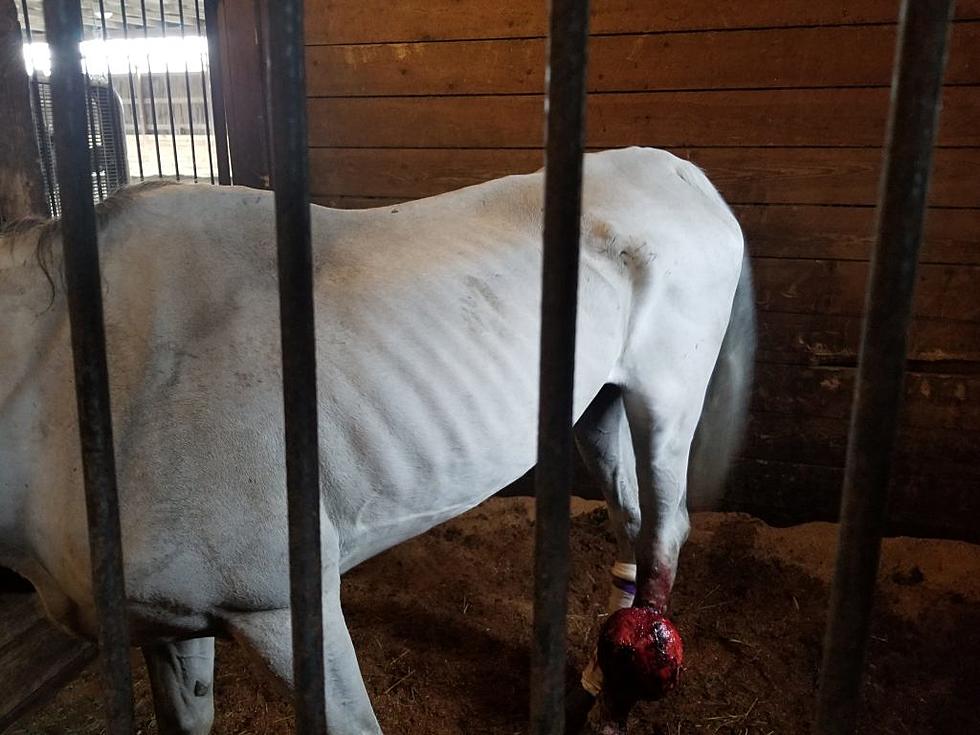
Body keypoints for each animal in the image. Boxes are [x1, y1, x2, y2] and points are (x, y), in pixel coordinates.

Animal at [0, 147, 756, 732]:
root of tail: (681, 172)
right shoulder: (167, 627)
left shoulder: (282, 604)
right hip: (597, 405)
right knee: (632, 524)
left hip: (664, 402)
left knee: (664, 532)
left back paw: (622, 696)